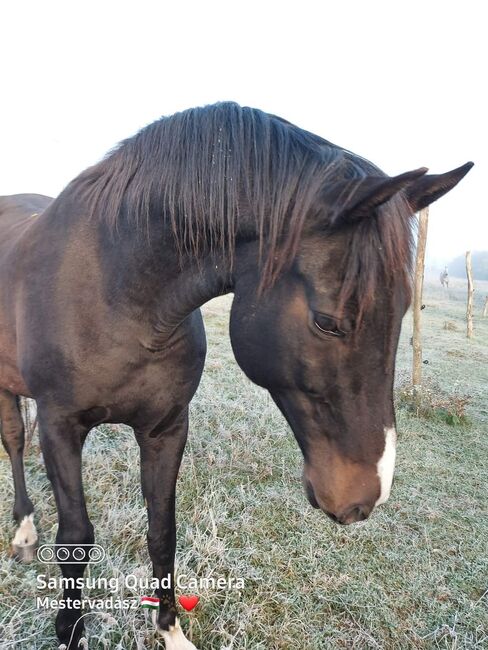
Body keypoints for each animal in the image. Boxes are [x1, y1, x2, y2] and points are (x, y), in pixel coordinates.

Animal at [0, 102, 473, 649]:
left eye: (404, 312)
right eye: (327, 322)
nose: (365, 499)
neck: (114, 292)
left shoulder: (166, 428)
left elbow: (163, 530)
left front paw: (171, 631)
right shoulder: (60, 427)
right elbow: (75, 538)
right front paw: (70, 631)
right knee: (14, 442)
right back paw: (24, 532)